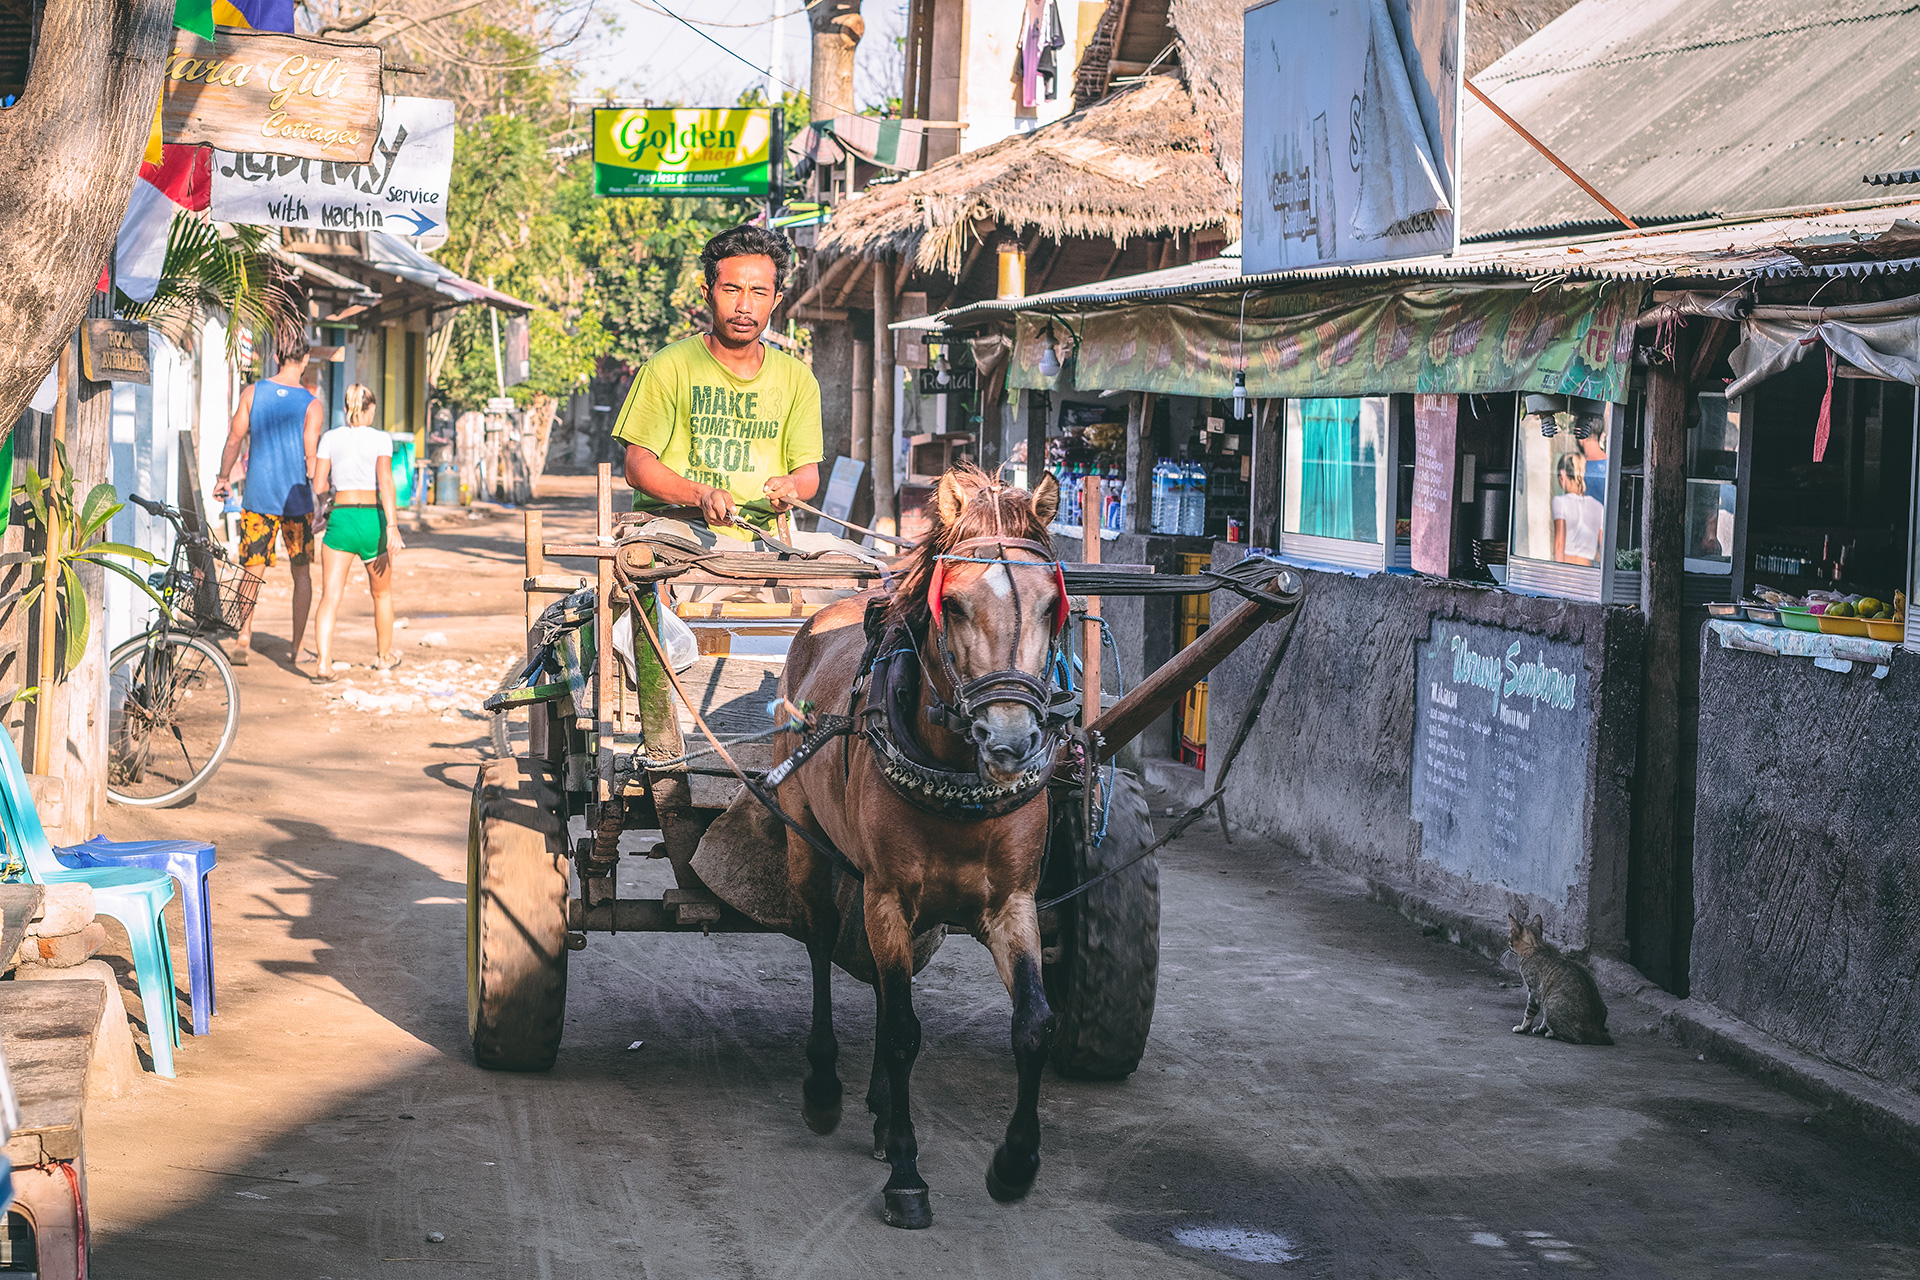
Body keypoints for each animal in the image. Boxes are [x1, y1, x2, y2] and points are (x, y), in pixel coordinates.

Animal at [779, 466, 1082, 1228]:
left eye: (1051, 608)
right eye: (958, 606)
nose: (1011, 743)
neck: (956, 778)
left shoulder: (1012, 903)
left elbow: (1035, 1025)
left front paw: (1014, 1164)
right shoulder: (887, 895)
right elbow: (903, 1032)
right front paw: (908, 1177)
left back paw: (882, 1113)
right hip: (809, 850)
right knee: (822, 947)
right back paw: (825, 1088)